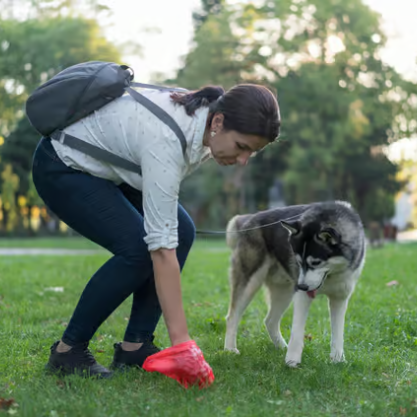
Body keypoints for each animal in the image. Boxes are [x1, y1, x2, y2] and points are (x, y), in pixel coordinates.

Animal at [224, 200, 366, 366]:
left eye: (316, 262)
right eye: (298, 261)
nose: (301, 286)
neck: (331, 276)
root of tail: (249, 218)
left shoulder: (340, 298)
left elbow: (338, 332)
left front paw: (338, 360)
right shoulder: (302, 296)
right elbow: (297, 331)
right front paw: (292, 360)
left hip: (284, 292)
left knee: (270, 320)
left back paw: (281, 346)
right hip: (251, 283)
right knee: (232, 316)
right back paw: (230, 349)